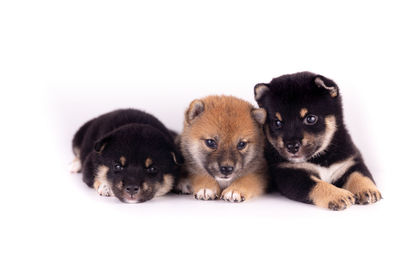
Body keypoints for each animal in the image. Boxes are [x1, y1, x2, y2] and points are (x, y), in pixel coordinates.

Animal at [255, 71, 382, 211]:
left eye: (310, 118)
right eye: (277, 123)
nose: (292, 146)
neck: (321, 158)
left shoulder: (349, 161)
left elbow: (360, 174)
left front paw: (367, 190)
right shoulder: (289, 174)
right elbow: (317, 185)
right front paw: (338, 195)